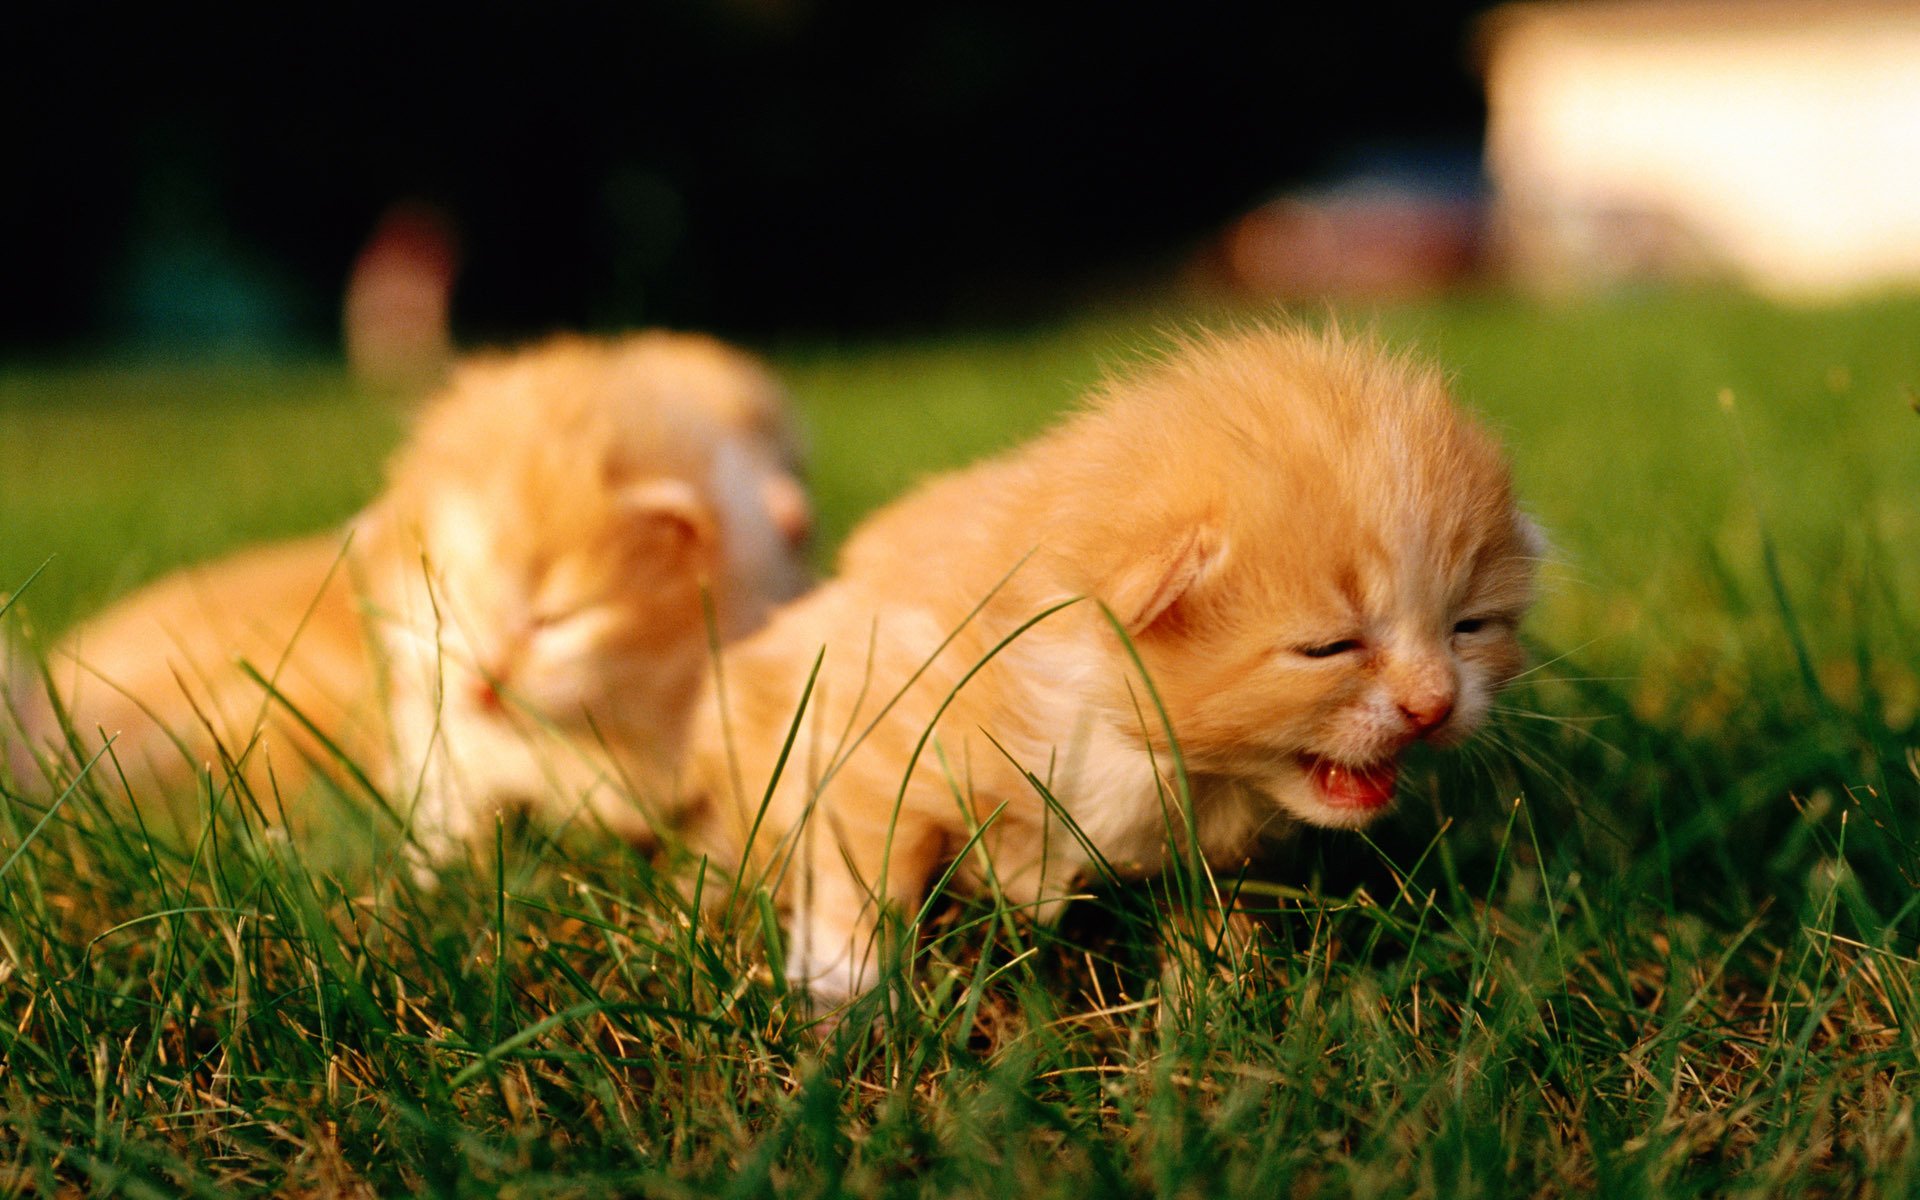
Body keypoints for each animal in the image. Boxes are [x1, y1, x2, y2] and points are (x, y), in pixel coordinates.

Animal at [683, 320, 1536, 998]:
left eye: (1470, 627)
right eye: (1329, 647)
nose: (1434, 706)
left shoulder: (1216, 851)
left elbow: (1214, 916)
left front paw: (1218, 1003)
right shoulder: (874, 724)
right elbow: (863, 875)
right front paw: (844, 995)